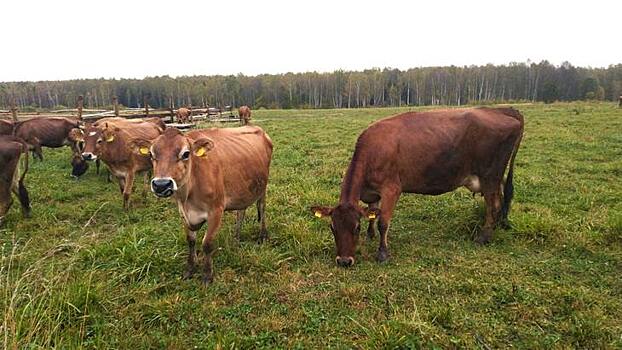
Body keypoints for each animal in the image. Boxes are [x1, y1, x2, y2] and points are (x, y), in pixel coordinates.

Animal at [134, 126, 272, 284]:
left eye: (186, 154)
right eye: (151, 154)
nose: (161, 185)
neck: (189, 197)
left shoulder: (216, 211)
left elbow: (207, 243)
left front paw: (207, 275)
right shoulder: (183, 213)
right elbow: (191, 241)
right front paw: (190, 269)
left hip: (263, 187)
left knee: (262, 209)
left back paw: (262, 236)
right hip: (243, 190)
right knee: (240, 213)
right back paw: (236, 239)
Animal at [312, 108, 528, 266]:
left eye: (355, 227)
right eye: (332, 227)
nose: (344, 261)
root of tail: (503, 110)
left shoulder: (392, 188)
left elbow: (383, 222)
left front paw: (382, 253)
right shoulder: (373, 192)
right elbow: (373, 212)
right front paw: (370, 235)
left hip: (490, 175)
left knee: (494, 205)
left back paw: (483, 237)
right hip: (495, 177)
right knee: (501, 198)